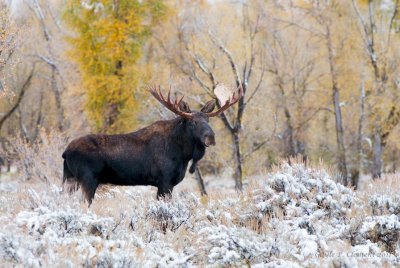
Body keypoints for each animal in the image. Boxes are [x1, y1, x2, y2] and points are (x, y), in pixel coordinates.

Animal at [61, 85, 242, 204]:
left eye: (208, 120)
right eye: (192, 122)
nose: (210, 137)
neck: (184, 154)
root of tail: (65, 152)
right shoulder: (164, 181)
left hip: (70, 179)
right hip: (87, 179)